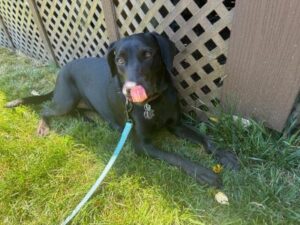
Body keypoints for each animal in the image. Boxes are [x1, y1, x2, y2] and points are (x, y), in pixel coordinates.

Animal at [5, 31, 239, 186]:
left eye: (148, 54)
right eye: (119, 60)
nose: (130, 90)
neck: (153, 102)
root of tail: (62, 69)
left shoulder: (177, 125)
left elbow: (204, 138)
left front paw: (223, 154)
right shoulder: (143, 145)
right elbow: (176, 157)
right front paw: (204, 173)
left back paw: (88, 120)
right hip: (66, 100)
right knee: (45, 109)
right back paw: (43, 127)